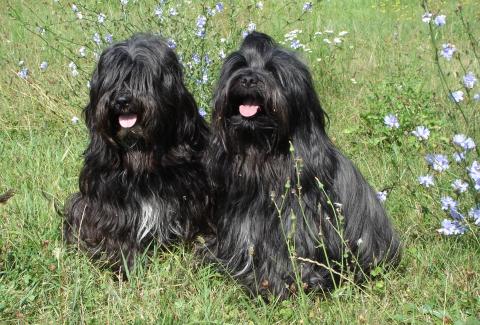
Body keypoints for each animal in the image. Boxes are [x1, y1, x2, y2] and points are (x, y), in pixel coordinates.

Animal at [64, 34, 211, 270]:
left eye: (143, 79)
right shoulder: (108, 200)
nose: (122, 100)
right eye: (113, 79)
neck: (140, 151)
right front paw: (123, 263)